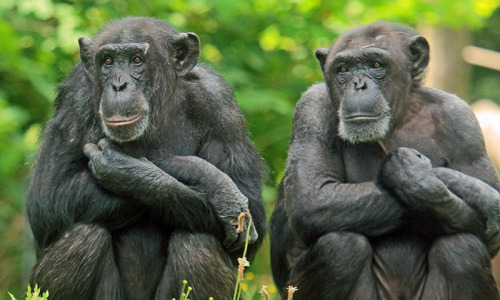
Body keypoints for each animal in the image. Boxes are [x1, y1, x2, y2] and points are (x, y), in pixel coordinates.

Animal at [26, 17, 266, 300]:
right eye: (108, 61)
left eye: (137, 60)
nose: (119, 85)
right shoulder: (74, 98)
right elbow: (48, 198)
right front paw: (215, 183)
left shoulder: (221, 104)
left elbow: (251, 216)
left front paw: (130, 171)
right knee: (84, 237)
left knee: (198, 243)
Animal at [270, 22, 500, 298]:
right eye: (343, 69)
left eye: (376, 65)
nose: (358, 84)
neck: (398, 118)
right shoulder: (311, 109)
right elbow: (312, 198)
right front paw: (421, 177)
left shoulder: (462, 119)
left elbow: (489, 239)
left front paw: (416, 178)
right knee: (340, 247)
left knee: (463, 249)